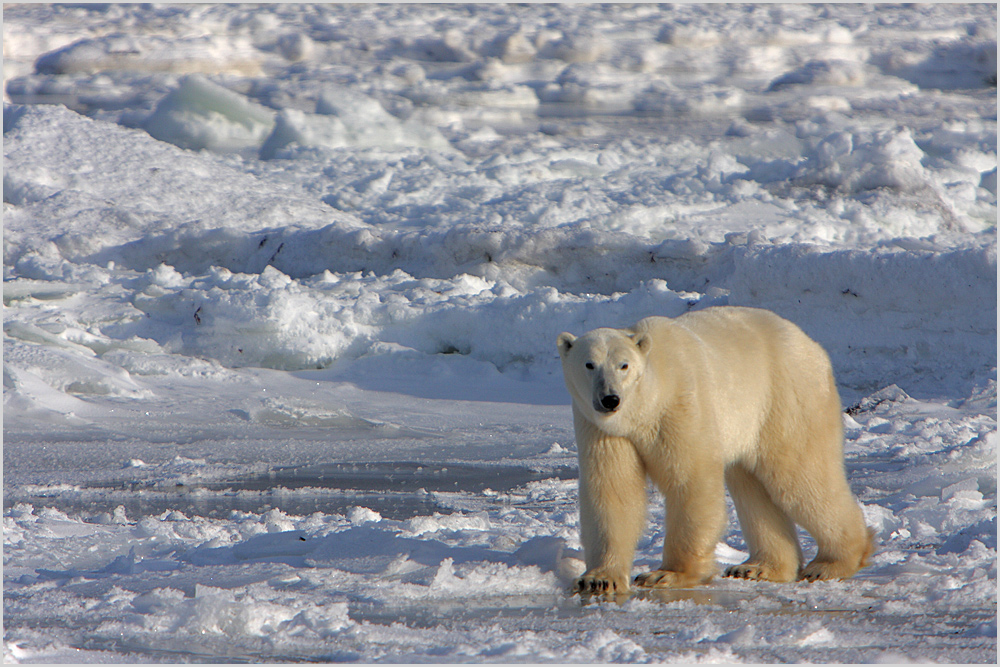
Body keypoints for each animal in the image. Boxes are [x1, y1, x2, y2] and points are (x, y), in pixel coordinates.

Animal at [560, 308, 872, 596]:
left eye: (623, 365)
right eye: (589, 364)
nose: (610, 399)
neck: (647, 401)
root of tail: (812, 346)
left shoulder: (679, 407)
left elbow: (690, 480)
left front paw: (666, 574)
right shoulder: (603, 429)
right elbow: (612, 490)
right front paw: (598, 579)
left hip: (786, 398)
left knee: (800, 476)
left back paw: (830, 564)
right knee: (752, 488)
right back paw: (758, 567)